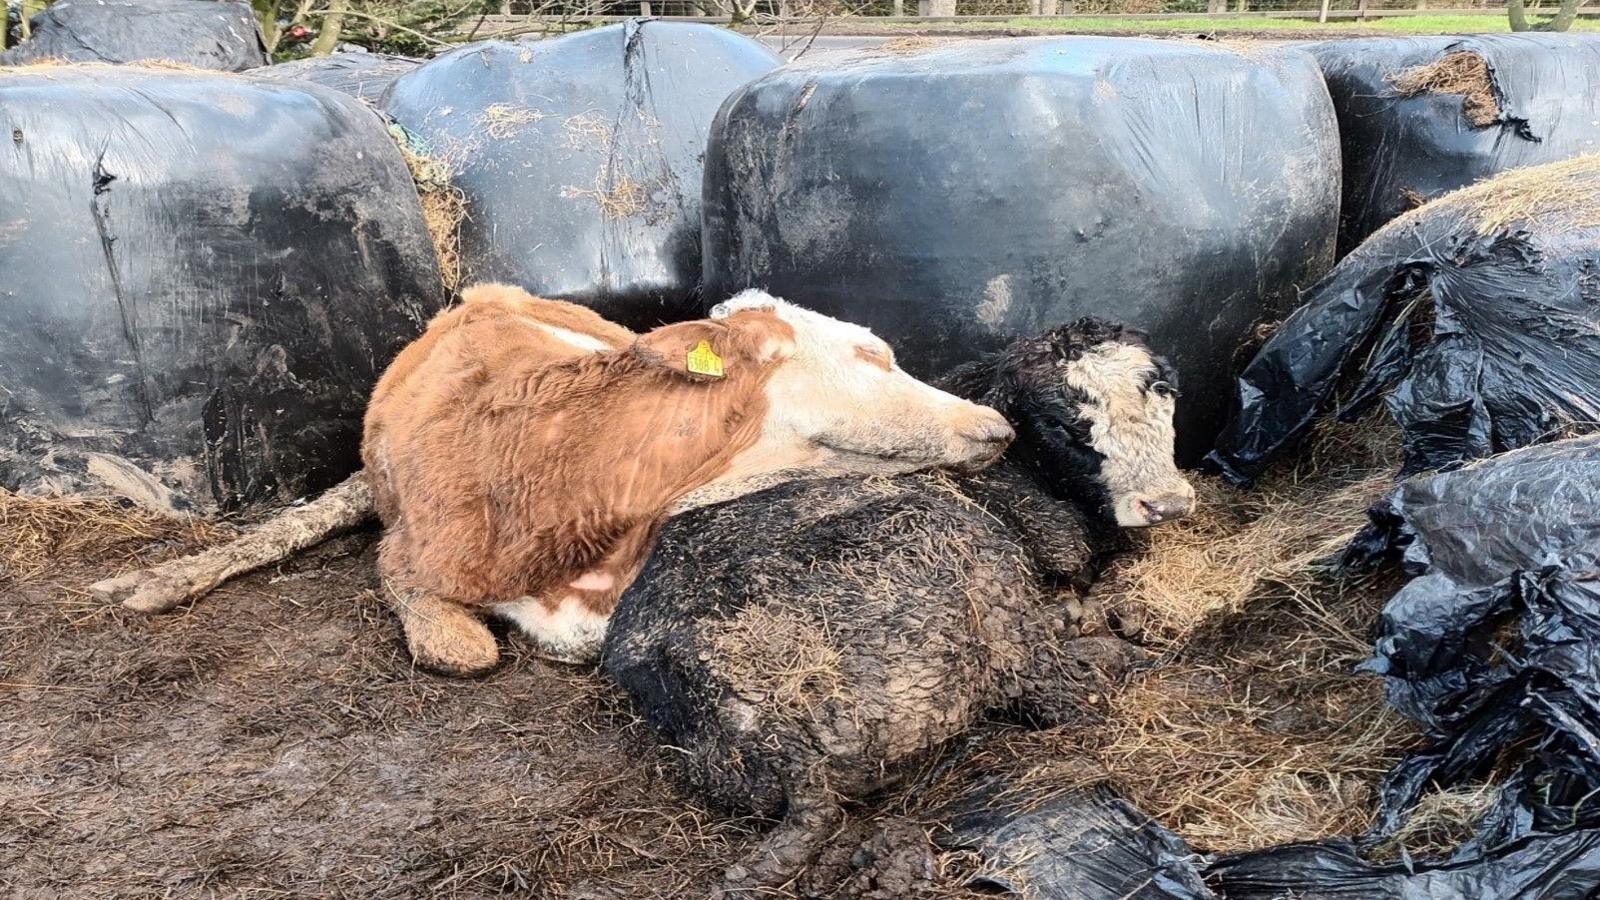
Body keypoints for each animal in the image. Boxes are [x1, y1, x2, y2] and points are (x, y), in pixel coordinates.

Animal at [604, 317, 1196, 890]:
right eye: (1061, 422)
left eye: (1166, 392)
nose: (1166, 504)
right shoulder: (1055, 544)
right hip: (977, 579)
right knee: (1068, 695)